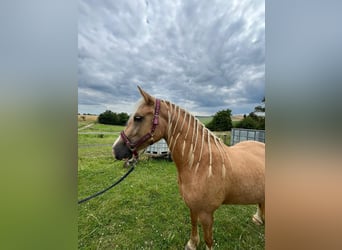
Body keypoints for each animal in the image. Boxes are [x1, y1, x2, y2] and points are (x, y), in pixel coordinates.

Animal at [112, 87, 264, 249]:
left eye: (138, 118)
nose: (115, 149)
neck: (200, 164)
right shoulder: (193, 207)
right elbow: (193, 223)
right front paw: (192, 243)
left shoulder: (206, 213)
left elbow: (208, 240)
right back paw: (258, 218)